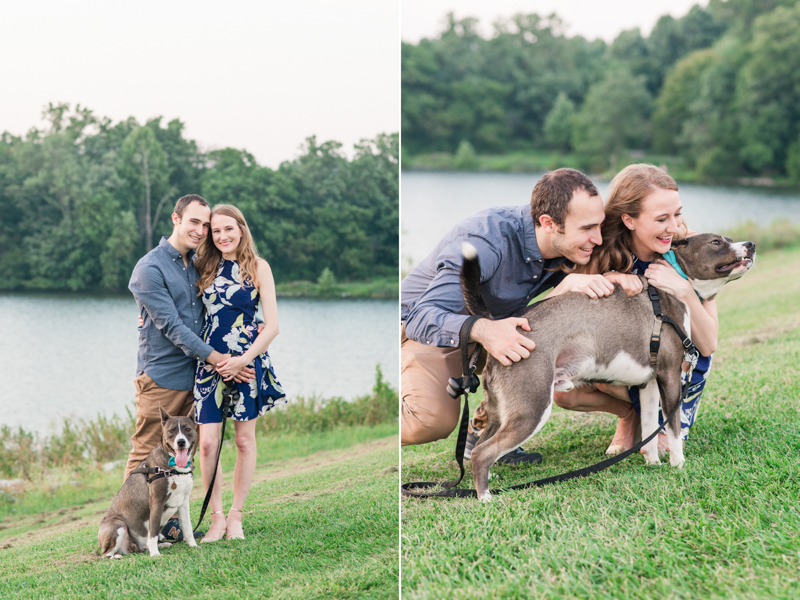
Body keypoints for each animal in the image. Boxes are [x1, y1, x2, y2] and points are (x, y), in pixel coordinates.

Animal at [97, 408, 198, 556]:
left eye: (188, 429)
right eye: (171, 431)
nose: (181, 442)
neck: (174, 467)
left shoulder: (184, 502)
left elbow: (188, 528)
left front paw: (194, 546)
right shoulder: (156, 501)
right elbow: (154, 532)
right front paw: (155, 554)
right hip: (117, 525)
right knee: (106, 554)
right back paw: (116, 556)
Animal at [462, 234, 756, 502]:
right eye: (716, 242)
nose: (751, 245)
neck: (670, 289)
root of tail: (504, 328)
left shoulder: (649, 384)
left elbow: (649, 426)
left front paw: (653, 463)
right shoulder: (670, 377)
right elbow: (672, 429)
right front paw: (678, 465)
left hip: (501, 412)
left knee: (482, 442)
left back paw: (489, 479)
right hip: (532, 410)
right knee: (481, 452)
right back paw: (485, 496)